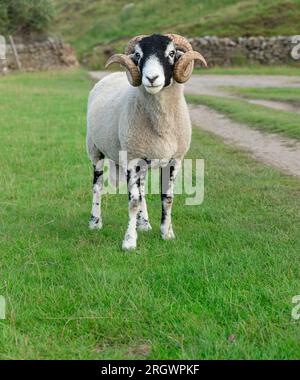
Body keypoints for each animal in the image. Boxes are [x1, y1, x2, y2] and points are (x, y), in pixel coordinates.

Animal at [86, 34, 206, 251]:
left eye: (172, 53)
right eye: (138, 55)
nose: (151, 78)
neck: (161, 127)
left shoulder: (174, 160)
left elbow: (167, 199)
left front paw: (167, 234)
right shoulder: (132, 159)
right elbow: (133, 201)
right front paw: (129, 241)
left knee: (141, 189)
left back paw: (144, 224)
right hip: (94, 149)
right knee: (97, 186)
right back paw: (95, 222)